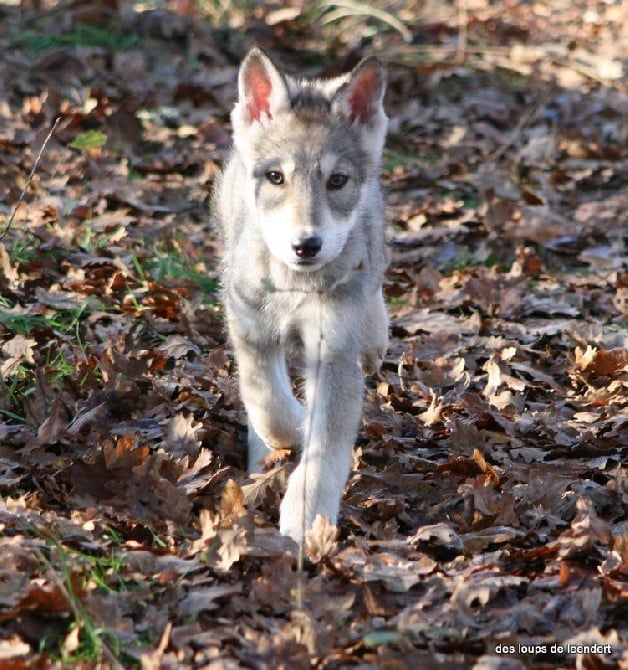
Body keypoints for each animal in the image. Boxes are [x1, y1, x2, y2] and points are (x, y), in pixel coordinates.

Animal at [215, 47, 388, 544]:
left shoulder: (333, 355)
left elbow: (324, 450)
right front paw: (289, 428)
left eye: (337, 181)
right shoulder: (248, 326)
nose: (306, 245)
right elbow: (265, 398)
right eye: (275, 177)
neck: (295, 287)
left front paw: (306, 516)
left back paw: (375, 337)